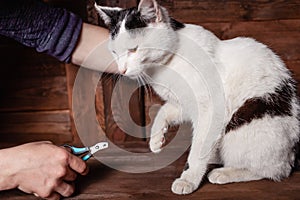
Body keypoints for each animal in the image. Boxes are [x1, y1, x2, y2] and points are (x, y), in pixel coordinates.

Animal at [95, 0, 298, 195]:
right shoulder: (183, 102)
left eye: (134, 49)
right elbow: (164, 111)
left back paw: (226, 172)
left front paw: (188, 179)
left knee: (274, 170)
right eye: (114, 52)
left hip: (247, 130)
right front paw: (156, 138)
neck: (166, 66)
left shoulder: (210, 108)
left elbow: (197, 150)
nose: (122, 70)